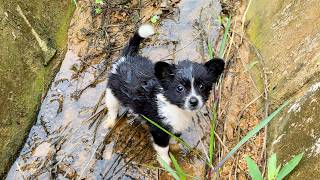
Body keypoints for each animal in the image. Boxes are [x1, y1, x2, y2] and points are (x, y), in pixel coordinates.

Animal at [105, 23, 225, 165]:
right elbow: (162, 147)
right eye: (179, 88)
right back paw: (110, 121)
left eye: (202, 86)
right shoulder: (159, 130)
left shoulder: (175, 126)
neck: (175, 108)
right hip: (112, 92)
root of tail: (126, 58)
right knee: (112, 108)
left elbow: (173, 138)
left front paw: (175, 147)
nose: (193, 101)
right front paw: (165, 161)